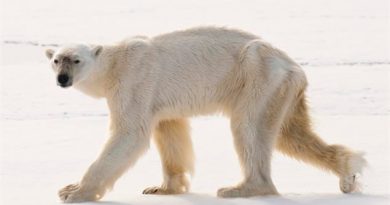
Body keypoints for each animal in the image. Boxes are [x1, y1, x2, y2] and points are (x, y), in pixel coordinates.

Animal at [45, 26, 366, 203]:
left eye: (76, 60)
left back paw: (239, 188)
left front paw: (72, 191)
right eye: (57, 60)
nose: (62, 79)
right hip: (282, 89)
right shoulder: (157, 99)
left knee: (249, 127)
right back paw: (347, 172)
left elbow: (129, 134)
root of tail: (293, 67)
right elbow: (170, 131)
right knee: (291, 135)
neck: (114, 65)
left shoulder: (133, 81)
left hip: (257, 75)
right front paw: (162, 188)